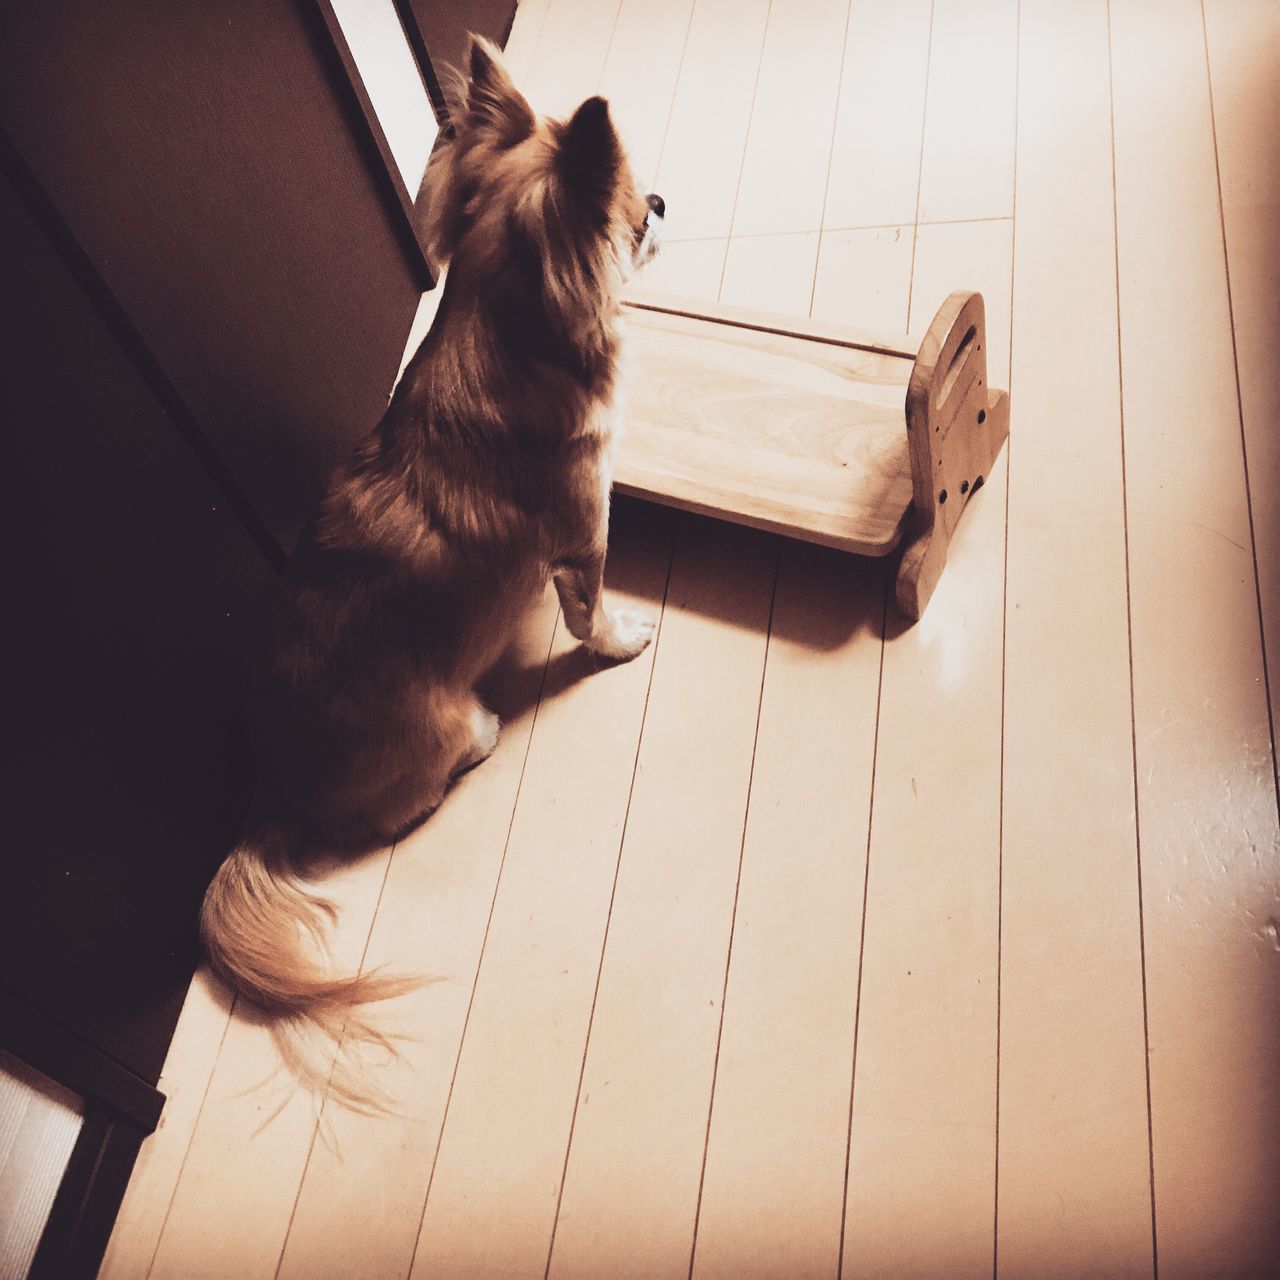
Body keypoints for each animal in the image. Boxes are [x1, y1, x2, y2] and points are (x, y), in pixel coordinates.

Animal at [197, 35, 670, 1105]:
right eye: (631, 210)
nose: (665, 202)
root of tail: (275, 791)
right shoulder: (585, 533)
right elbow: (591, 611)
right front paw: (623, 641)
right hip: (453, 723)